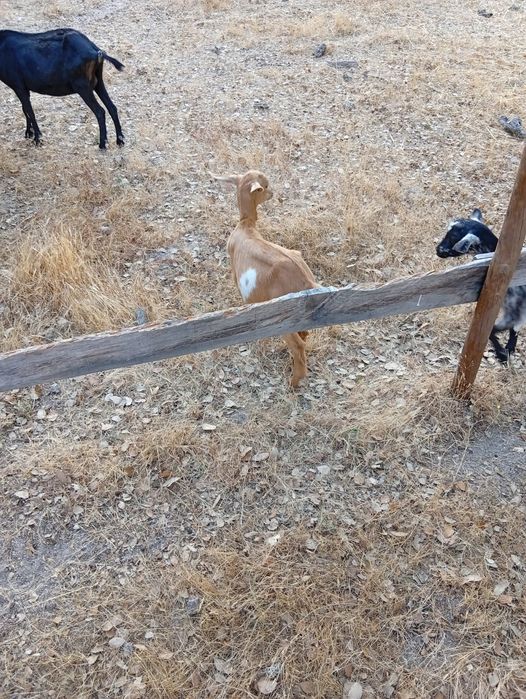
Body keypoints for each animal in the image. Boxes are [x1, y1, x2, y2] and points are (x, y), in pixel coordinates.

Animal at [211, 169, 319, 387]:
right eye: (266, 186)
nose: (273, 194)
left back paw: (293, 383)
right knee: (305, 333)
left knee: (298, 344)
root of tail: (305, 281)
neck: (246, 226)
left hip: (286, 316)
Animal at [436, 208, 526, 363]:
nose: (438, 250)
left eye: (454, 236)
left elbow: (493, 332)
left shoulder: (514, 314)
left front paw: (502, 353)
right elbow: (509, 332)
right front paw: (506, 352)